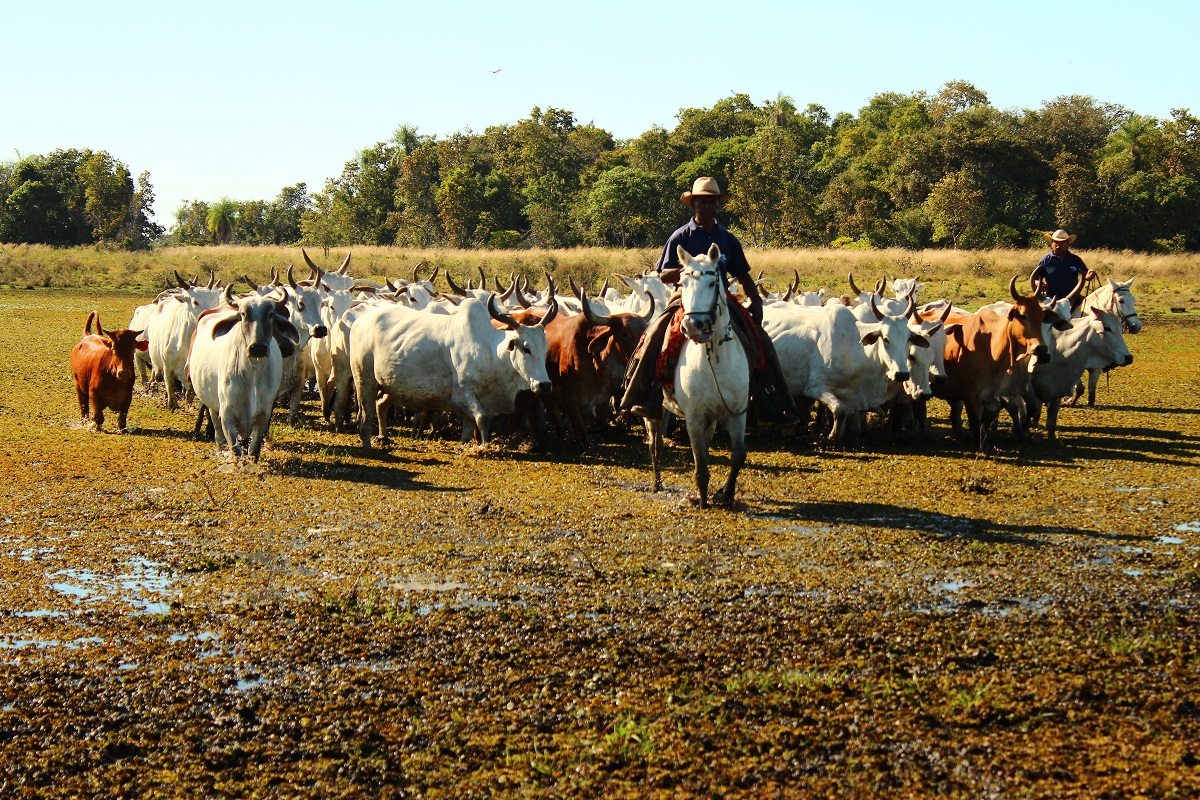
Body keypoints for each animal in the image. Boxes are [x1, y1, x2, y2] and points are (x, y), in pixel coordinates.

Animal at [188, 291, 302, 460]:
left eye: (271, 314)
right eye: (243, 314)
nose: (258, 348)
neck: (251, 373)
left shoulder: (264, 412)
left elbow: (254, 448)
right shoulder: (227, 412)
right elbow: (235, 448)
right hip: (212, 404)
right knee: (217, 429)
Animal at [350, 293, 556, 448]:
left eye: (545, 347)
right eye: (526, 348)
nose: (544, 385)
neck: (490, 353)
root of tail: (360, 321)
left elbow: (469, 428)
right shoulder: (462, 395)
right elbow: (482, 420)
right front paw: (484, 448)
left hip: (391, 385)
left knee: (381, 405)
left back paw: (383, 437)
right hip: (364, 380)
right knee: (366, 415)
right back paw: (368, 444)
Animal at [648, 242, 748, 513]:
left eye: (713, 283)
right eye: (682, 283)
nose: (693, 326)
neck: (715, 359)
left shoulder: (737, 414)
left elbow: (738, 455)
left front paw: (726, 494)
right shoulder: (694, 417)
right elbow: (700, 465)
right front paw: (703, 500)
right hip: (653, 413)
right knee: (654, 444)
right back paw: (656, 483)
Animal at [936, 277, 1070, 450]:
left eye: (1042, 318)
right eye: (1022, 315)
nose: (1041, 349)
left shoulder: (997, 394)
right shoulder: (971, 395)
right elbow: (976, 425)